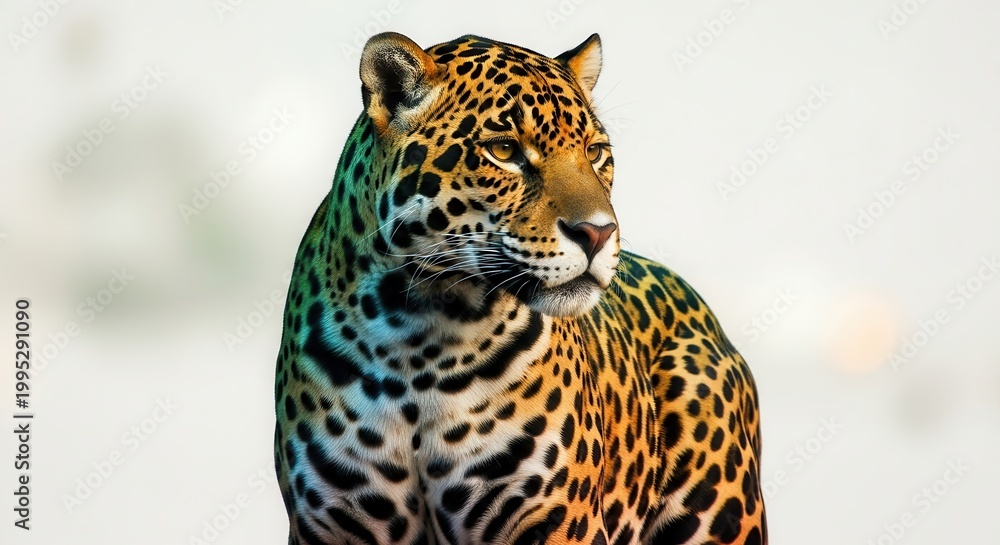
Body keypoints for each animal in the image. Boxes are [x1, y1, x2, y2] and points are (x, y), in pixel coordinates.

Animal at [273, 31, 766, 545]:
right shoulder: (331, 525)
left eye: (594, 152)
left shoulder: (559, 521)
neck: (419, 339)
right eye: (505, 150)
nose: (599, 233)